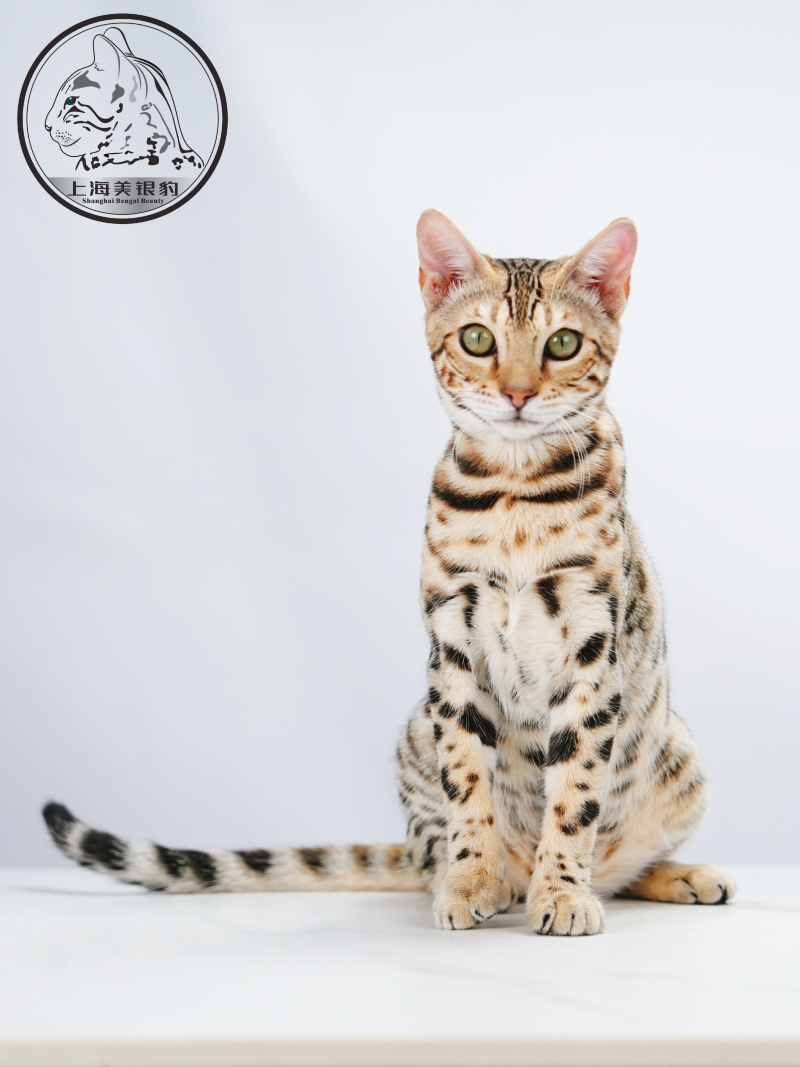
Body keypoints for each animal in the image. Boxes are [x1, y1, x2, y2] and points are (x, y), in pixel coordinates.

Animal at [43, 211, 735, 935]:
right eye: (478, 339)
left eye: (564, 343)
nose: (518, 393)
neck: (514, 492)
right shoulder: (453, 649)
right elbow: (468, 781)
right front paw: (472, 879)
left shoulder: (592, 647)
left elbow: (574, 797)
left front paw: (564, 892)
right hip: (415, 733)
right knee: (436, 848)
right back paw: (496, 880)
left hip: (680, 755)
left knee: (621, 866)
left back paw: (672, 874)